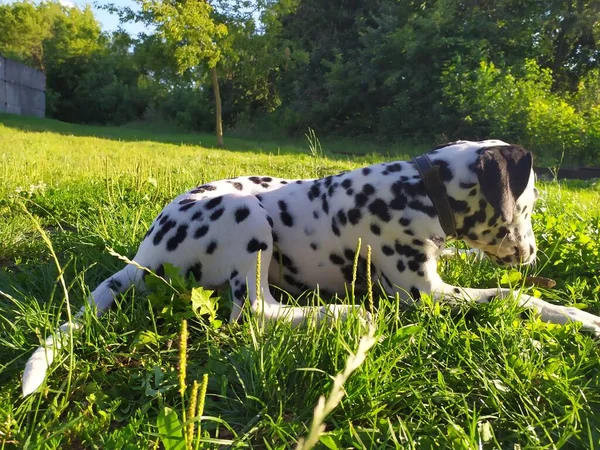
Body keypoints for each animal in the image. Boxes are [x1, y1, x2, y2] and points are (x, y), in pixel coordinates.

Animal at [21, 139, 600, 396]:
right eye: (528, 205)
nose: (533, 255)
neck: (418, 191)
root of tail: (143, 256)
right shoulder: (426, 295)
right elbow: (512, 296)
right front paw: (579, 315)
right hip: (245, 215)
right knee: (255, 315)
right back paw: (343, 315)